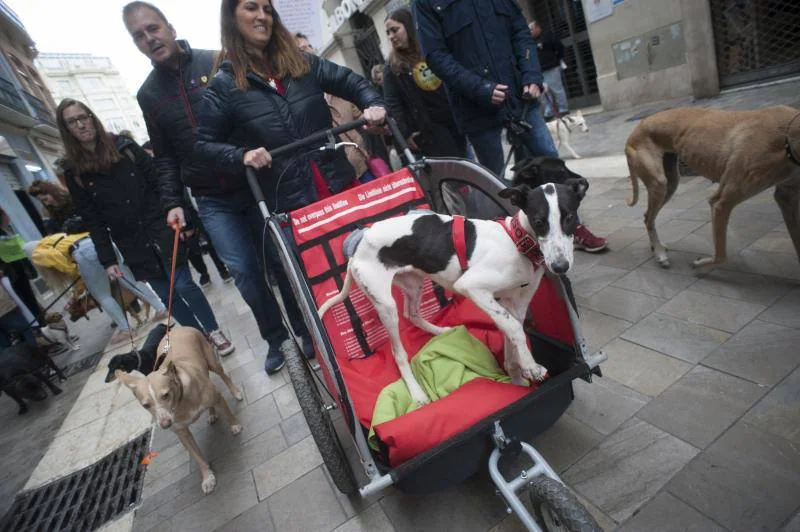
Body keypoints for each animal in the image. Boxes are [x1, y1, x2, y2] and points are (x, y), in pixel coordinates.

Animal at [318, 177, 588, 406]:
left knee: (411, 314)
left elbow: (513, 335)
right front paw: (531, 367)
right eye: (539, 221)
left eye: (570, 218)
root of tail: (357, 246)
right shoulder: (472, 286)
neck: (516, 241)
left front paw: (518, 378)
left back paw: (441, 331)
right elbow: (513, 329)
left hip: (413, 283)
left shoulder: (514, 304)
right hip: (385, 304)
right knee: (398, 352)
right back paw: (417, 393)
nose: (560, 266)